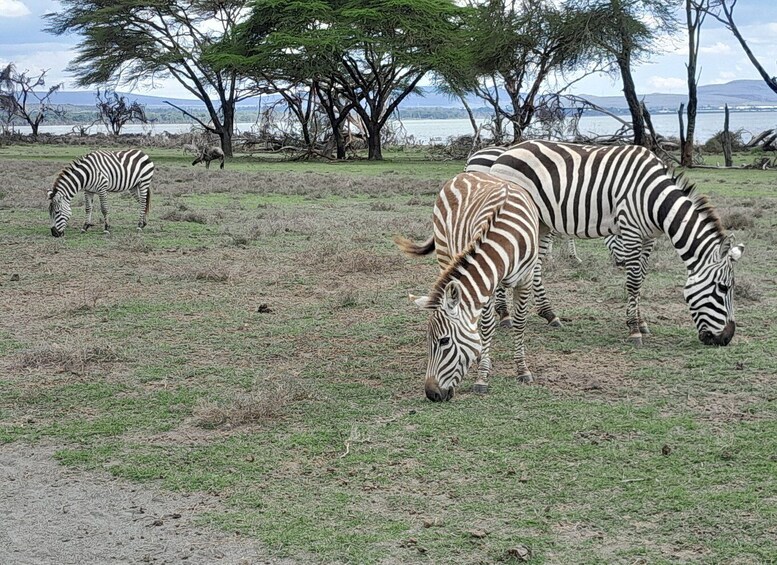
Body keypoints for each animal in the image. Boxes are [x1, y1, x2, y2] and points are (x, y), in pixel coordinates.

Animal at [394, 172, 540, 400]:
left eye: (444, 341)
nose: (431, 394)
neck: (508, 241)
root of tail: (463, 174)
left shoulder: (525, 279)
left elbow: (519, 322)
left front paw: (522, 369)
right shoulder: (487, 285)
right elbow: (487, 327)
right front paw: (483, 376)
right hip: (444, 251)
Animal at [488, 139, 744, 346]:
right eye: (724, 288)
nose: (726, 339)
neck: (655, 200)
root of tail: (506, 152)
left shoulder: (648, 238)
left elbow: (641, 278)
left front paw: (641, 322)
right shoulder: (630, 231)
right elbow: (633, 282)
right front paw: (634, 330)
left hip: (541, 221)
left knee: (536, 265)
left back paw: (549, 314)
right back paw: (504, 314)